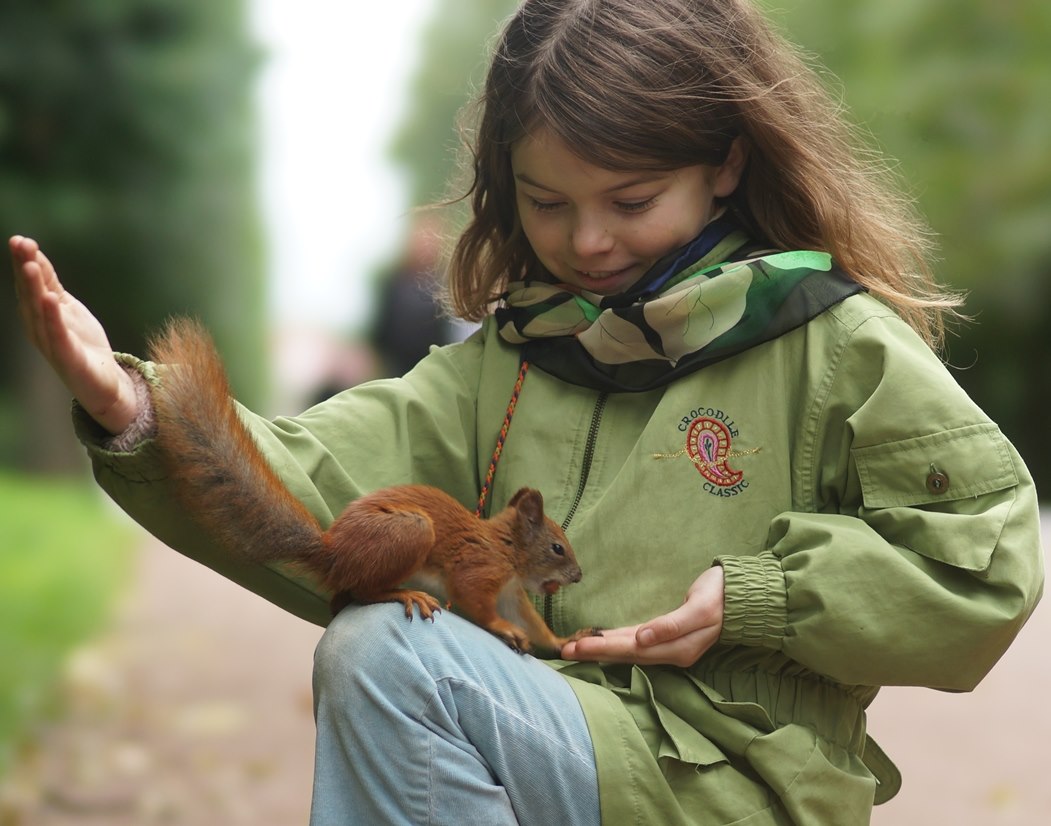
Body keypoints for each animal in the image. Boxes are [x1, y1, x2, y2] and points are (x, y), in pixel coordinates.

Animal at [146, 318, 599, 654]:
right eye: (557, 547)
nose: (579, 575)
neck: (506, 549)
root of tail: (335, 554)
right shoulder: (478, 570)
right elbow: (476, 602)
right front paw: (505, 631)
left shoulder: (512, 594)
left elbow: (537, 628)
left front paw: (566, 639)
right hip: (409, 532)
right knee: (363, 593)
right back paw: (403, 595)